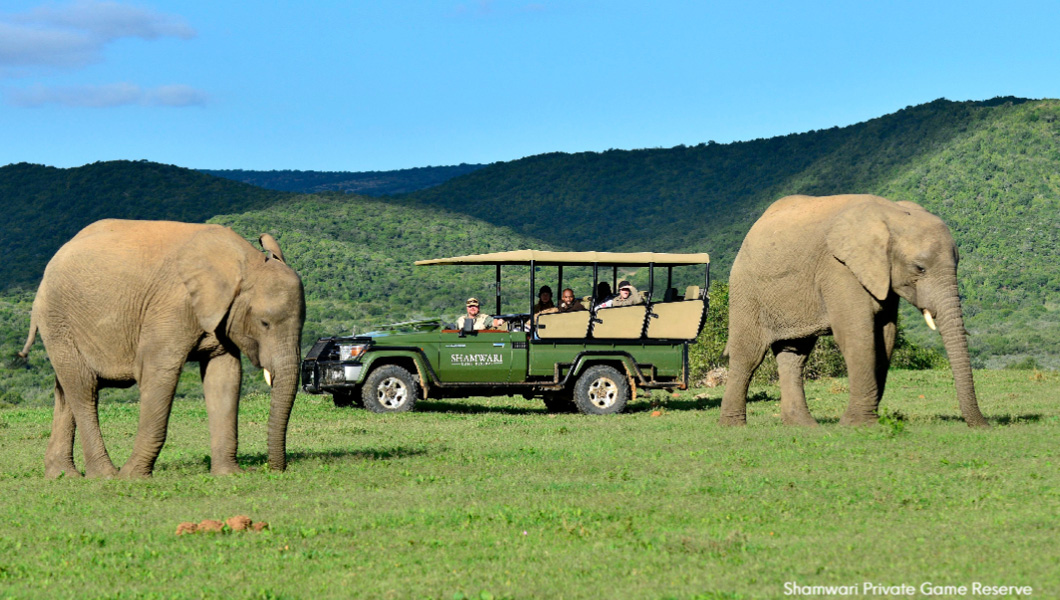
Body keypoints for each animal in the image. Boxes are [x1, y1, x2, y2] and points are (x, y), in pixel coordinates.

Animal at [18, 218, 307, 477]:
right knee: (83, 388)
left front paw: (229, 475)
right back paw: (105, 476)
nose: (273, 470)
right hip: (57, 319)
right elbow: (158, 373)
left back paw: (63, 475)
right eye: (264, 323)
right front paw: (132, 477)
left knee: (65, 391)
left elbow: (224, 378)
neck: (246, 261)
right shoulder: (172, 306)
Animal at [716, 195, 987, 430]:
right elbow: (857, 333)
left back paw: (803, 426)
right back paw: (734, 426)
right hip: (746, 288)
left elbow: (886, 336)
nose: (984, 425)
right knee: (749, 355)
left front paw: (861, 420)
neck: (892, 215)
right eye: (919, 268)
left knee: (794, 354)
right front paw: (857, 424)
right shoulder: (839, 268)